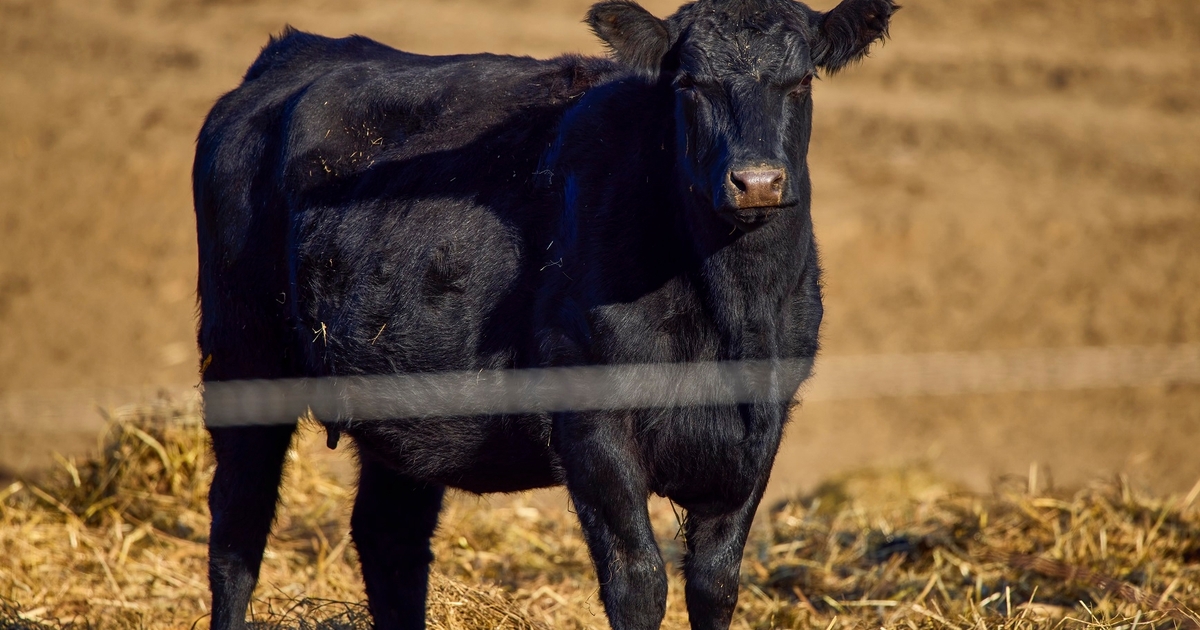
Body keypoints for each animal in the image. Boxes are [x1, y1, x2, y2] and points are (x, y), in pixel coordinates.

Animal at [194, 1, 892, 628]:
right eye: (689, 84)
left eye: (800, 82)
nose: (756, 183)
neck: (732, 318)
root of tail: (296, 51)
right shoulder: (591, 420)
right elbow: (638, 582)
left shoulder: (762, 425)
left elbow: (715, 585)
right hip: (242, 356)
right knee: (237, 526)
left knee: (390, 539)